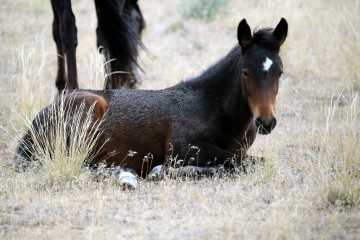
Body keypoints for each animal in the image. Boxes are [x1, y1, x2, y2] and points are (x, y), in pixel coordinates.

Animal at [15, 17, 288, 177]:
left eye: (280, 71)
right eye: (245, 71)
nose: (266, 122)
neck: (215, 106)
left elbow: (247, 160)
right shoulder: (181, 147)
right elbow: (240, 162)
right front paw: (162, 170)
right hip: (89, 110)